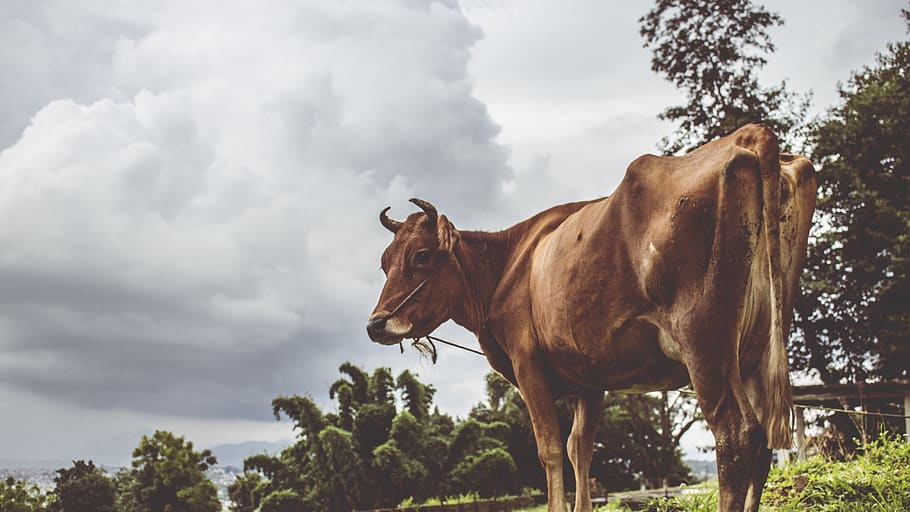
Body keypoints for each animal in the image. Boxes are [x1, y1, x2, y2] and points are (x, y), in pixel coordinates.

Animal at [367, 124, 816, 512]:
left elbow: (549, 448)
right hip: (759, 349)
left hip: (705, 343)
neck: (507, 267)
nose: (375, 324)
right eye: (384, 263)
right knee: (762, 440)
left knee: (736, 434)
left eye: (421, 256)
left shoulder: (527, 363)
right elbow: (578, 448)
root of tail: (748, 135)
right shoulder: (591, 379)